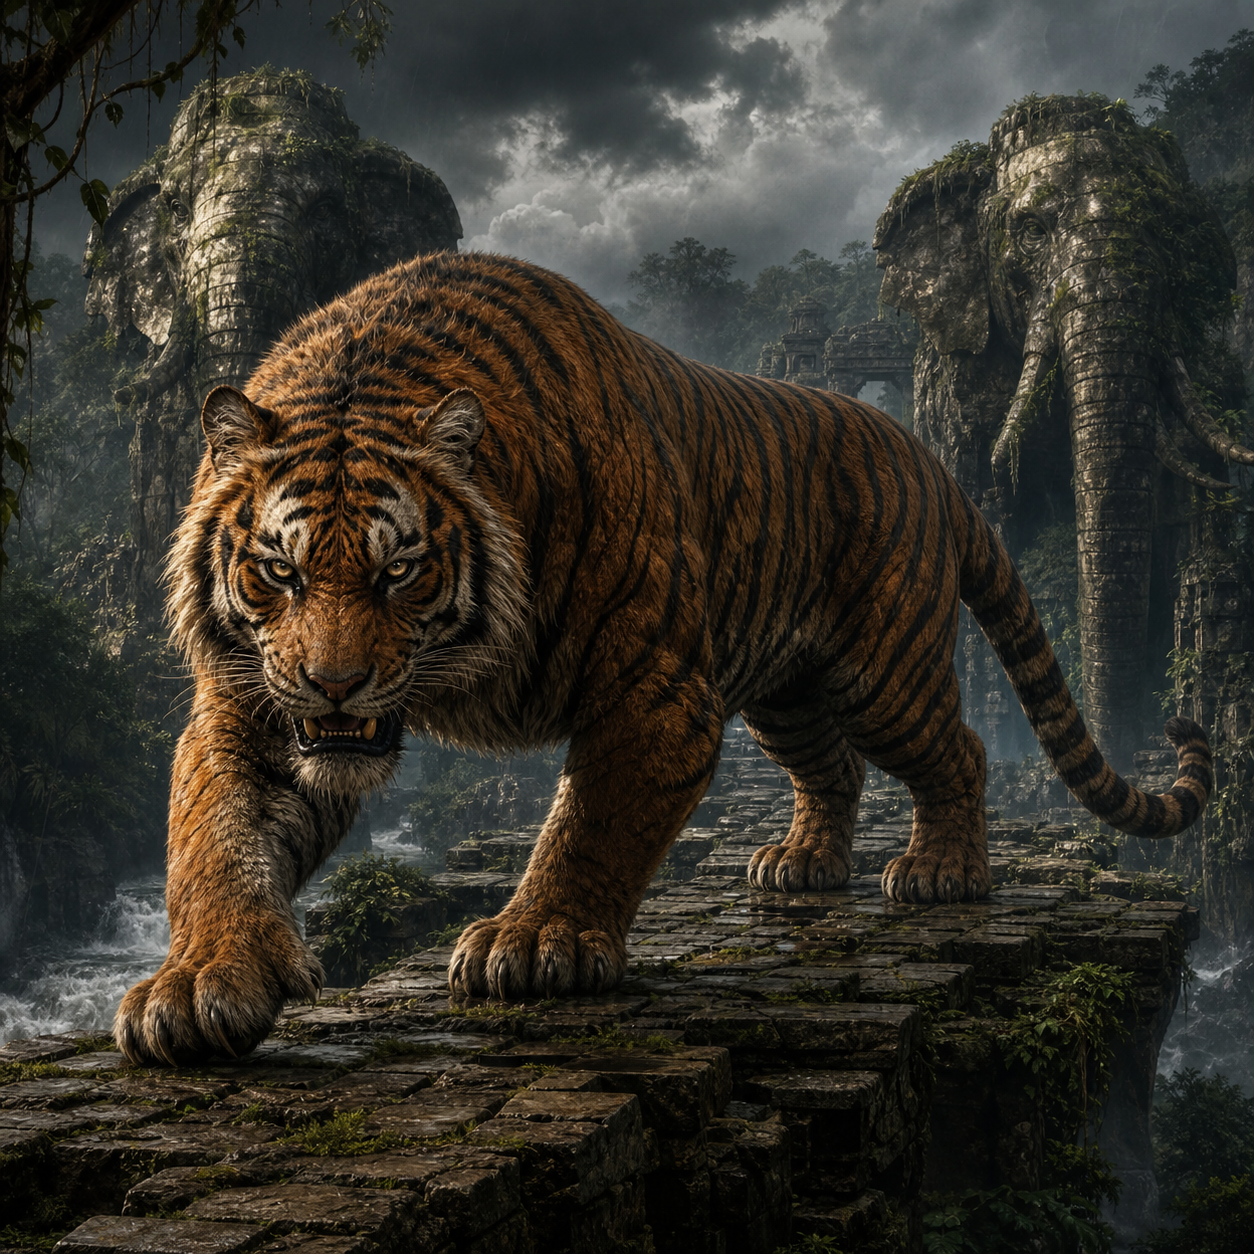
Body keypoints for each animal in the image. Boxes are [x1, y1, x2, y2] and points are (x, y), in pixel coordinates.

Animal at [114, 250, 1212, 1066]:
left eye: (401, 572)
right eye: (279, 572)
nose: (333, 685)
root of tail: (929, 460)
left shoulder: (654, 693)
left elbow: (591, 822)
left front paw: (536, 942)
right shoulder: (252, 705)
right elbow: (218, 836)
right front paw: (199, 984)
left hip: (880, 672)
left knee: (959, 753)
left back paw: (941, 873)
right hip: (786, 693)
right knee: (833, 771)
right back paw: (800, 867)